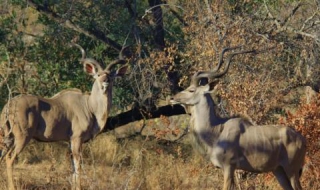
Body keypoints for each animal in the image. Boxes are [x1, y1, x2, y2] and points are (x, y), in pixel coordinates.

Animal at [0, 43, 127, 190]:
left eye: (111, 75)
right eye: (98, 74)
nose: (105, 81)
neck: (89, 106)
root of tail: (8, 106)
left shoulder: (70, 141)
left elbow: (73, 168)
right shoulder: (77, 139)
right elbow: (78, 166)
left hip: (8, 137)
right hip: (22, 137)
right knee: (10, 159)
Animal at [171, 47, 306, 190]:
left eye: (191, 90)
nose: (173, 98)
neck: (217, 130)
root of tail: (302, 139)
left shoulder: (229, 167)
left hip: (292, 170)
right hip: (278, 170)